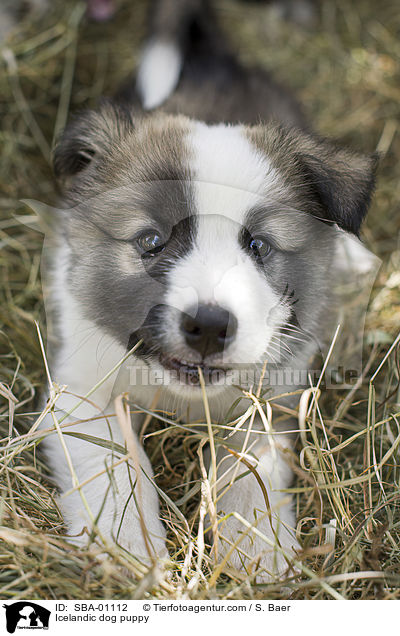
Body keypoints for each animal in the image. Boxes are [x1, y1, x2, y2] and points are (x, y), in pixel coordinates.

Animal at [39, 0, 376, 580]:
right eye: (151, 240)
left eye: (259, 246)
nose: (210, 327)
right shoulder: (81, 391)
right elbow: (114, 466)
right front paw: (130, 554)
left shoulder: (269, 398)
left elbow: (250, 475)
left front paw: (256, 561)